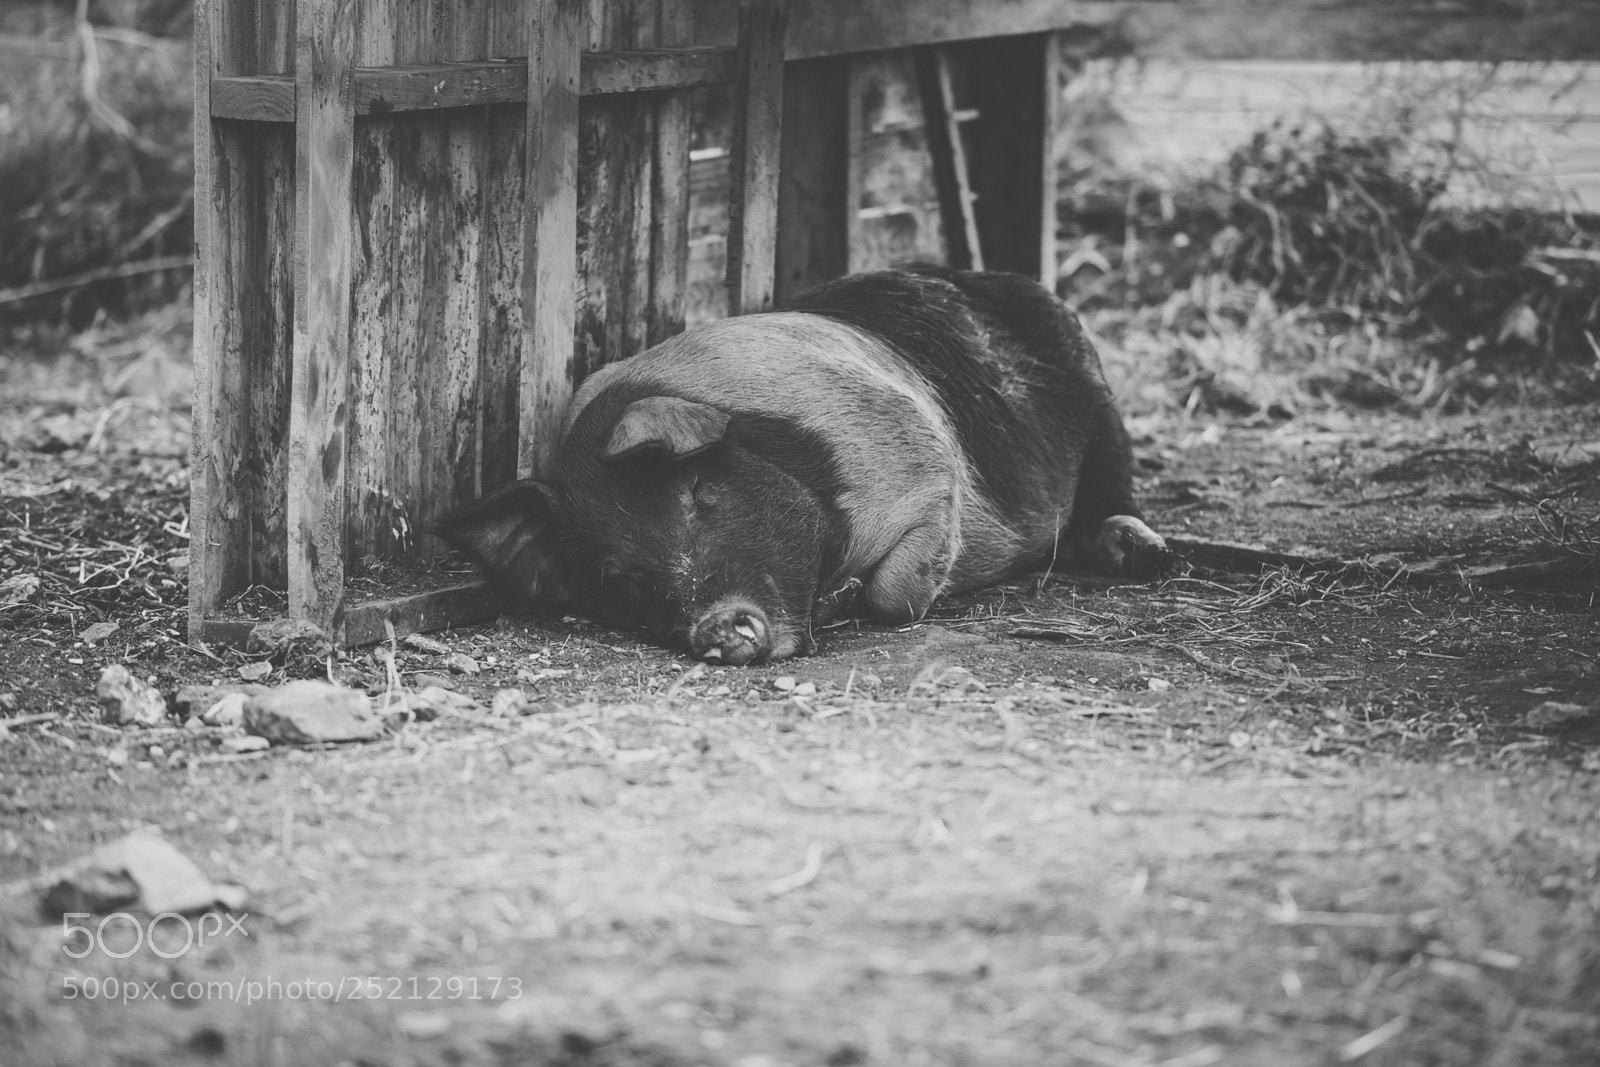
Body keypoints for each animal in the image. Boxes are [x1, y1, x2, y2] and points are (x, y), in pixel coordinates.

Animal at [434, 266, 1173, 664]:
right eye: (616, 576)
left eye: (696, 493)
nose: (718, 628)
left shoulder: (926, 459)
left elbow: (897, 591)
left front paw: (856, 596)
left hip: (1095, 387)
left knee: (1114, 489)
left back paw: (1150, 556)